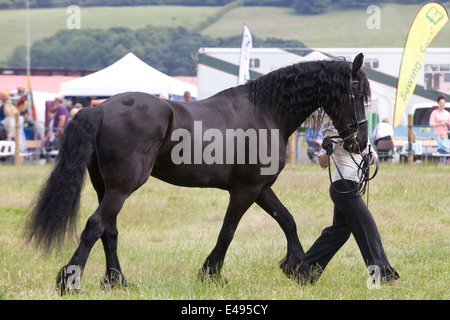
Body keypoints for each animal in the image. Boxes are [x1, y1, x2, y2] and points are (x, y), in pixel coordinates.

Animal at [23, 53, 370, 294]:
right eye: (359, 95)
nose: (360, 142)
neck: (266, 112)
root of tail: (99, 108)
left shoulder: (260, 188)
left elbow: (287, 220)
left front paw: (299, 269)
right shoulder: (245, 191)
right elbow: (228, 231)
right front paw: (211, 274)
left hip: (104, 187)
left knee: (109, 230)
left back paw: (116, 281)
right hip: (122, 188)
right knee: (95, 225)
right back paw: (70, 280)